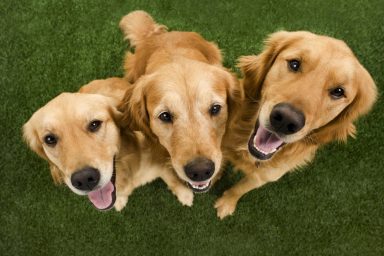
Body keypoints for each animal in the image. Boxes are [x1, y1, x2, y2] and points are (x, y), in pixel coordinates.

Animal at [22, 77, 194, 210]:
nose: (84, 179)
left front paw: (185, 194)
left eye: (94, 124)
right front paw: (120, 200)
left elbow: (172, 178)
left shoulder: (161, 161)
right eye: (49, 139)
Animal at [216, 31, 378, 219]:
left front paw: (227, 203)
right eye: (294, 64)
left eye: (338, 91)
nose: (286, 120)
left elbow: (239, 189)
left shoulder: (263, 177)